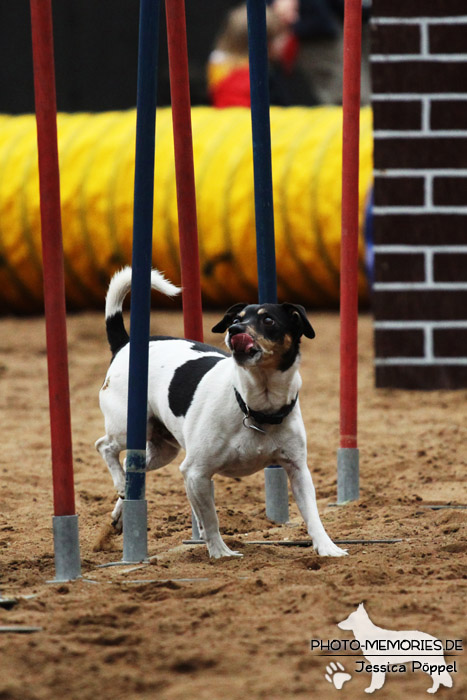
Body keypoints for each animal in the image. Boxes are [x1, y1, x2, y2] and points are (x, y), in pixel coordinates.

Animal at [96, 266, 348, 560]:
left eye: (269, 320)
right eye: (236, 319)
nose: (234, 329)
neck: (255, 407)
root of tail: (125, 345)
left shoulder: (298, 470)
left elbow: (312, 514)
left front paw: (328, 548)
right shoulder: (196, 471)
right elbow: (211, 518)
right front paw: (220, 552)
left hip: (163, 449)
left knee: (132, 466)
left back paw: (121, 509)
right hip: (129, 427)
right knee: (105, 446)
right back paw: (119, 482)